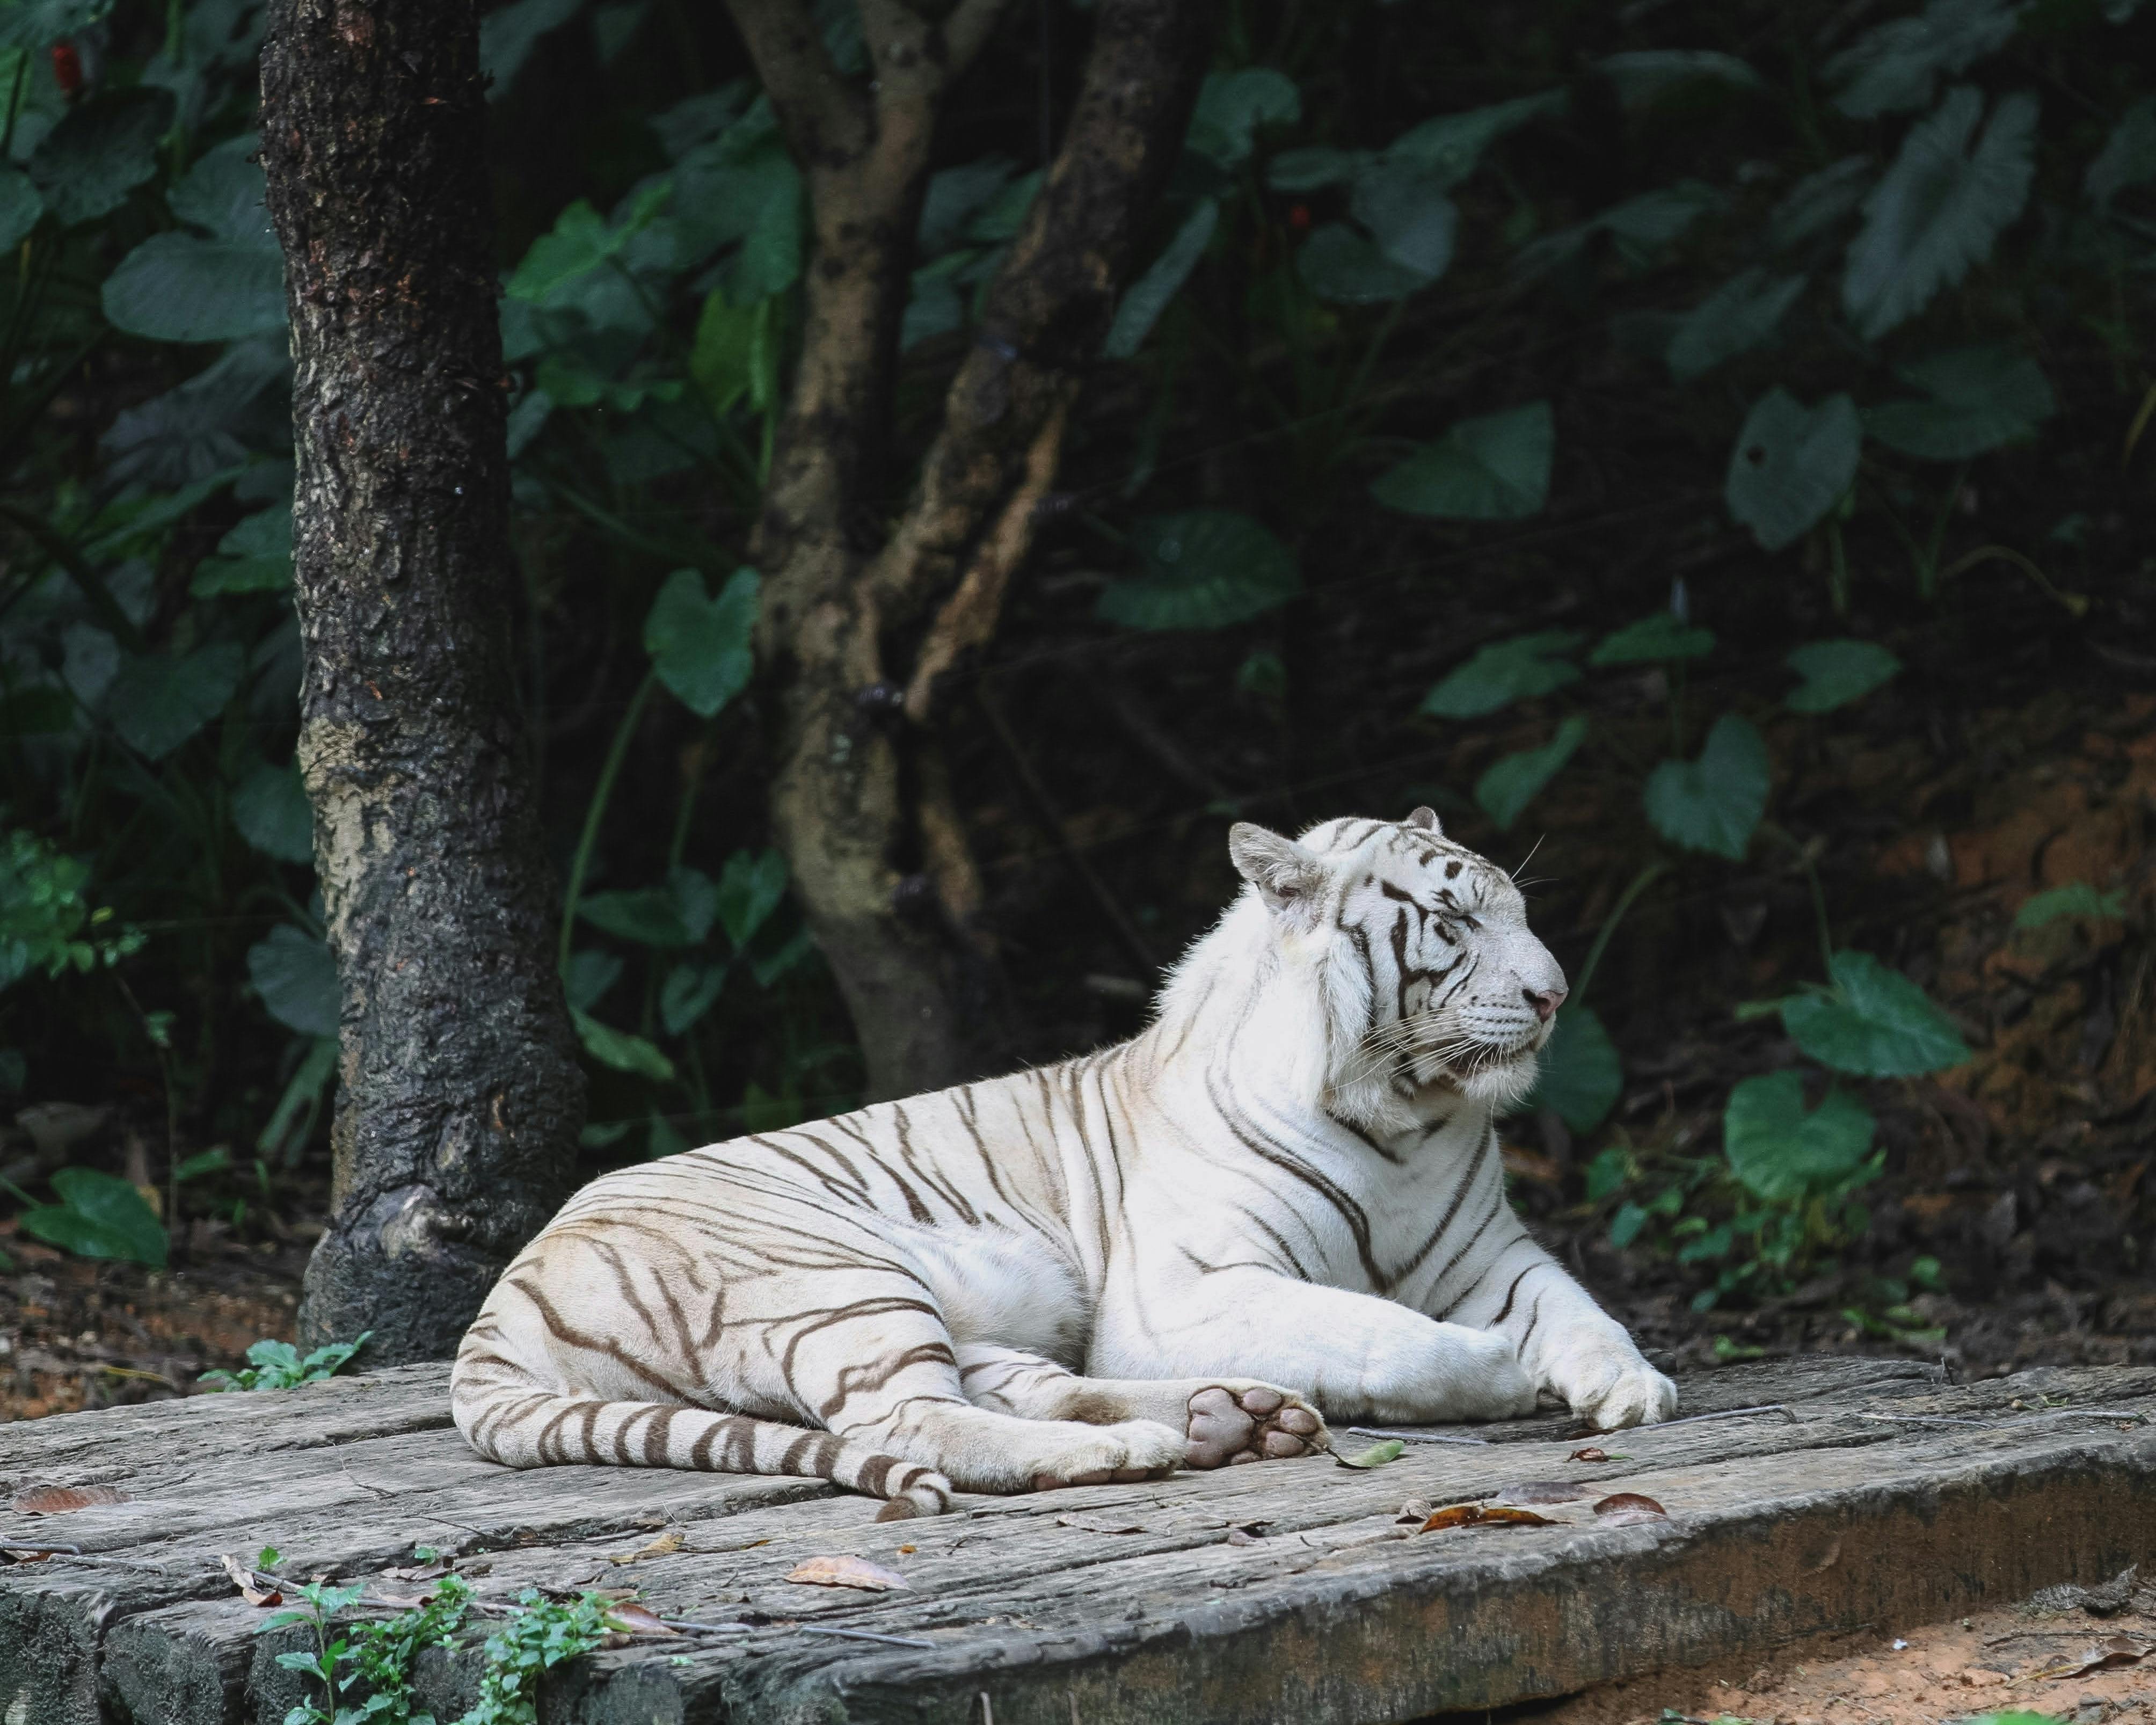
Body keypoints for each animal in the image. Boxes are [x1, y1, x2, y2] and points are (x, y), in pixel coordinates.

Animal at [446, 815, 1673, 1518]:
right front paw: (1500, 1372)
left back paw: (1230, 1416)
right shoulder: (1185, 1290)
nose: (1555, 992)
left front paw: (1628, 1384)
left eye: (1518, 909)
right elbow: (1377, 1329)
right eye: (1454, 922)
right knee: (910, 1423)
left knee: (1018, 1387)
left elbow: (1578, 1307)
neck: (1403, 1117)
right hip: (837, 1279)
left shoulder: (1493, 1253)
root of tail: (499, 1303)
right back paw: (1139, 1446)